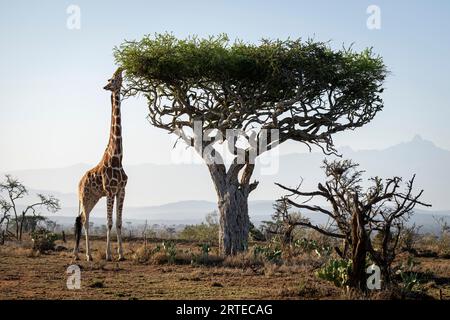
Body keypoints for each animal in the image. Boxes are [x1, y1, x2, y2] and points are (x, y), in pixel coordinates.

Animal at [73, 67, 127, 260]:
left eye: (117, 79)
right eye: (111, 80)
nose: (107, 86)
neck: (117, 158)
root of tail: (79, 182)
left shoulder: (121, 190)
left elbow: (118, 222)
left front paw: (121, 254)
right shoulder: (110, 191)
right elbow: (109, 222)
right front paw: (109, 255)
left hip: (93, 198)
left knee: (82, 218)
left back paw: (80, 254)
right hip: (84, 196)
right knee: (84, 220)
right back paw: (86, 255)